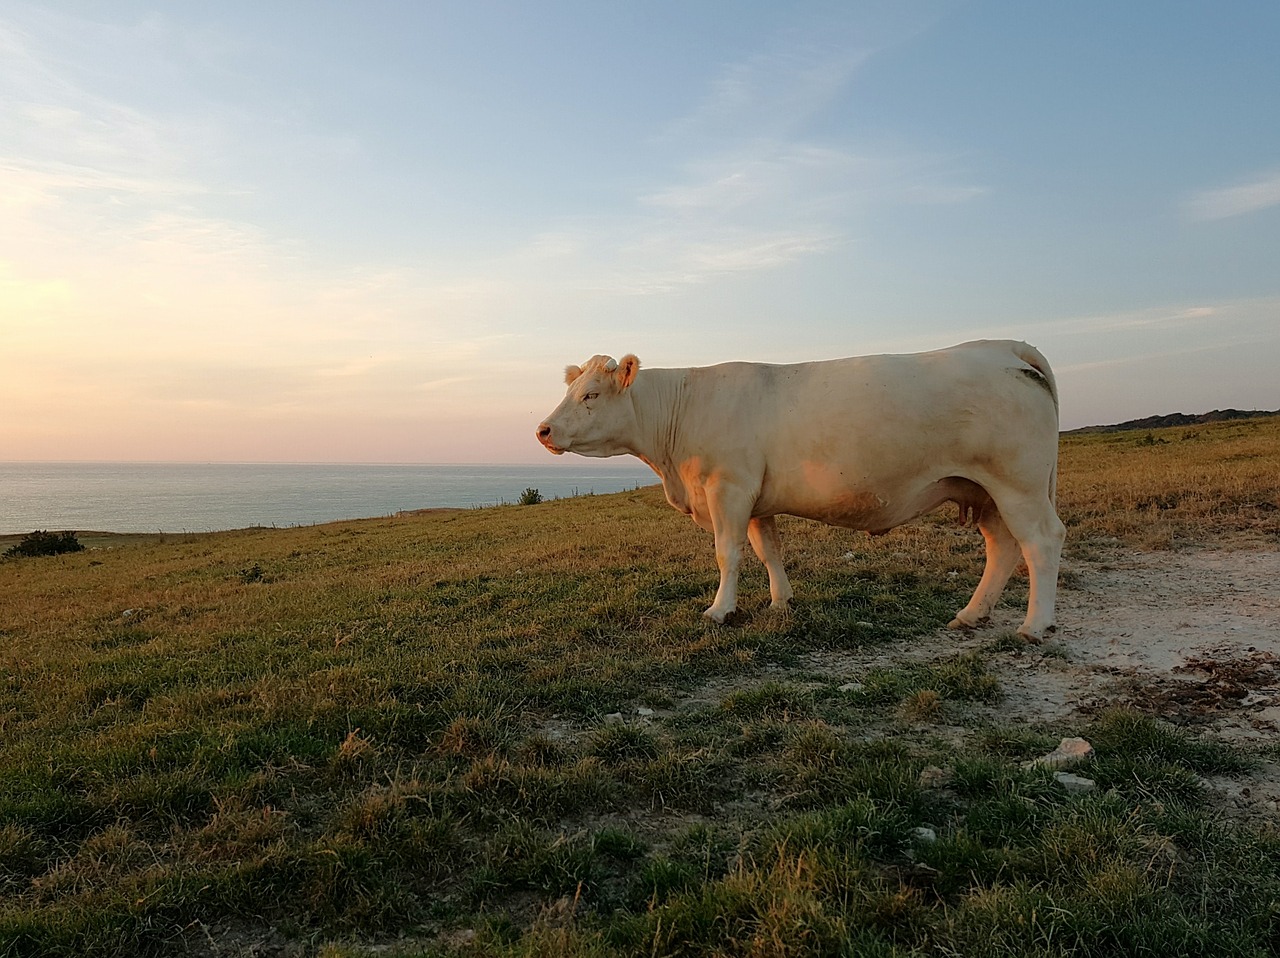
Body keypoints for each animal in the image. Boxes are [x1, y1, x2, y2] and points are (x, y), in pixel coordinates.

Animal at [535, 340, 1064, 640]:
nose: (542, 430)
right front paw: (780, 602)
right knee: (1002, 547)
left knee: (1041, 541)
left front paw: (720, 610)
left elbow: (728, 553)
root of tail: (1002, 346)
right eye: (570, 390)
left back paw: (1034, 627)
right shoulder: (756, 498)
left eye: (590, 395)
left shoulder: (728, 487)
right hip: (986, 490)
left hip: (1019, 484)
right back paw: (971, 615)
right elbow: (768, 549)